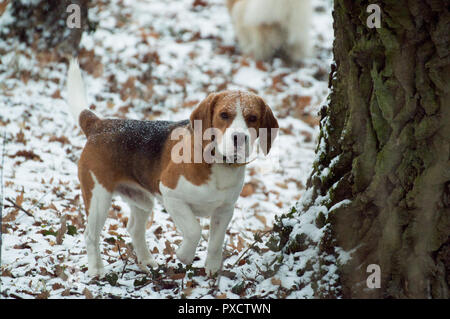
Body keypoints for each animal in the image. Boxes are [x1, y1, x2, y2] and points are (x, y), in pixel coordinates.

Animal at [66, 59, 278, 278]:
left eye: (252, 118)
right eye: (224, 115)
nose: (240, 138)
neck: (219, 163)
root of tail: (99, 124)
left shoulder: (225, 210)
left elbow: (216, 242)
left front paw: (212, 268)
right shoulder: (172, 196)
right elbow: (194, 230)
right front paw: (184, 256)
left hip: (141, 200)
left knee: (134, 229)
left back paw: (147, 261)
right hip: (98, 197)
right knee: (90, 234)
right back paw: (97, 269)